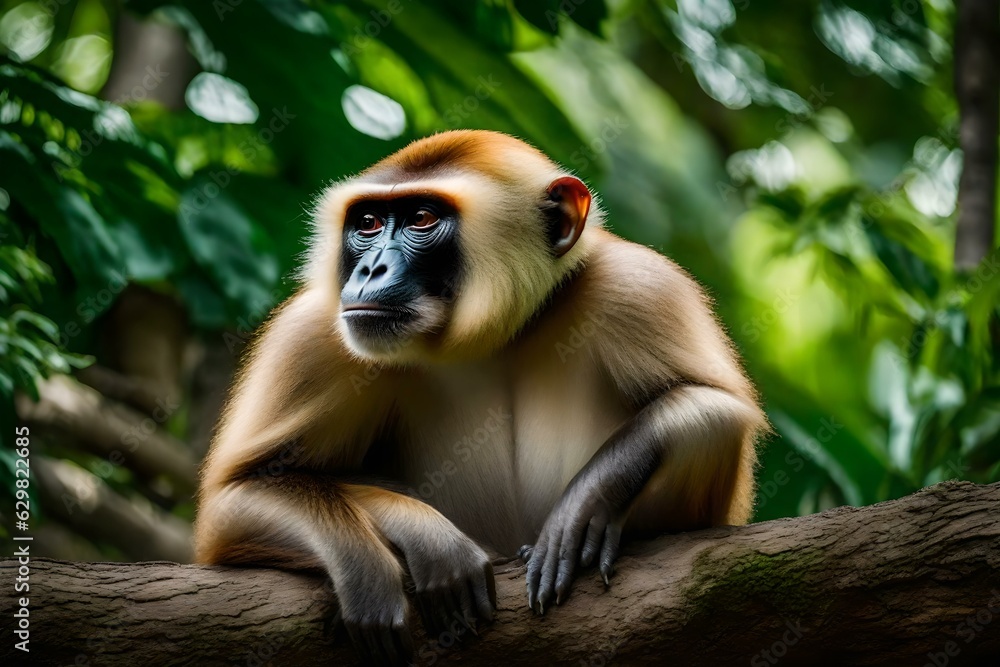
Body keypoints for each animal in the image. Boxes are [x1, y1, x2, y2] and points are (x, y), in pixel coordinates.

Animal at [195, 129, 764, 664]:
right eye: (369, 224)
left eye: (422, 218)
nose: (370, 269)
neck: (490, 334)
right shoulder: (313, 333)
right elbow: (234, 501)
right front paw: (398, 551)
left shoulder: (639, 285)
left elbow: (719, 411)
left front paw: (584, 502)